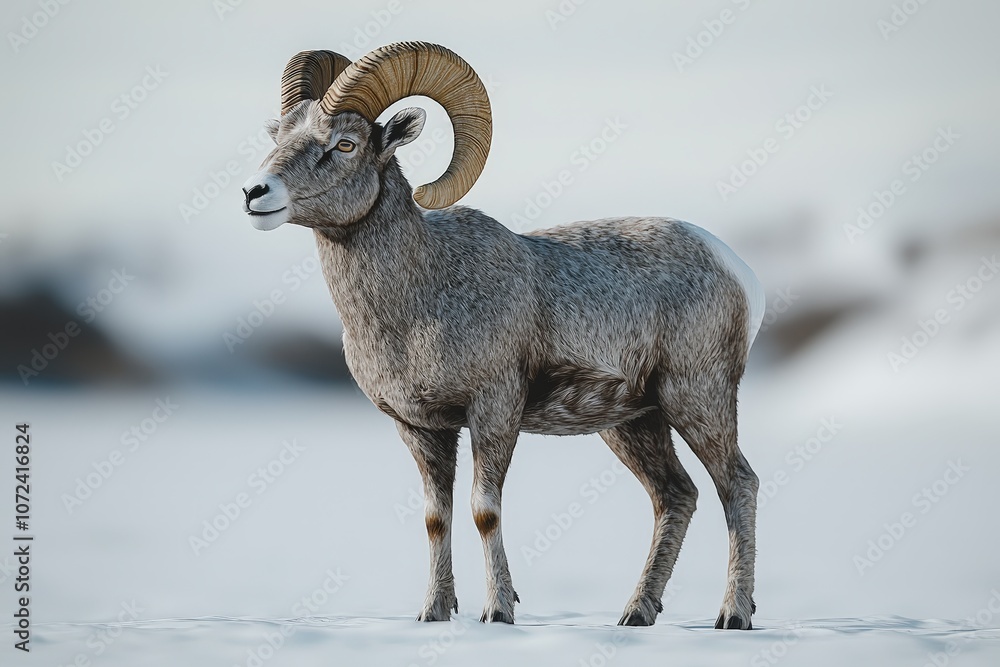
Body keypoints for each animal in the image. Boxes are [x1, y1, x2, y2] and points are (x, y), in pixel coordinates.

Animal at [241, 41, 765, 629]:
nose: (256, 193)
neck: (416, 302)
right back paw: (636, 614)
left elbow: (484, 512)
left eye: (345, 144)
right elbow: (436, 519)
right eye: (279, 136)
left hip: (696, 398)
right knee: (676, 495)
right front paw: (433, 612)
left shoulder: (494, 410)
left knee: (737, 484)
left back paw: (733, 616)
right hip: (633, 423)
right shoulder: (421, 430)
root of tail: (732, 266)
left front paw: (497, 611)